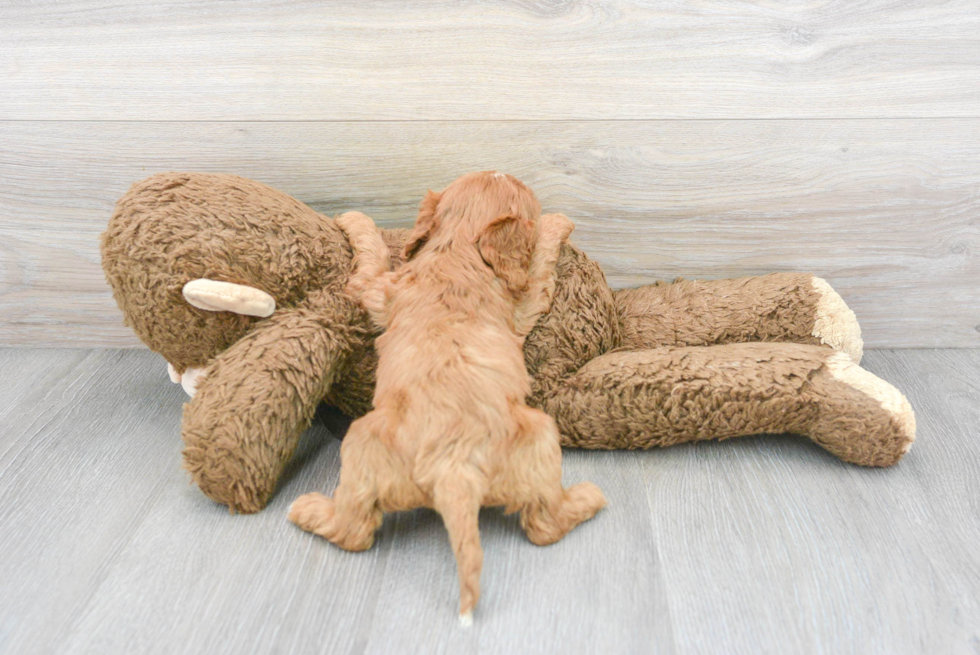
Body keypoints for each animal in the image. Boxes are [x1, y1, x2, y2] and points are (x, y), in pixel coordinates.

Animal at [288, 172, 604, 624]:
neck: (457, 248)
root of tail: (454, 471)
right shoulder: (516, 302)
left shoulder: (383, 287)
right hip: (535, 433)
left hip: (365, 441)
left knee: (356, 531)